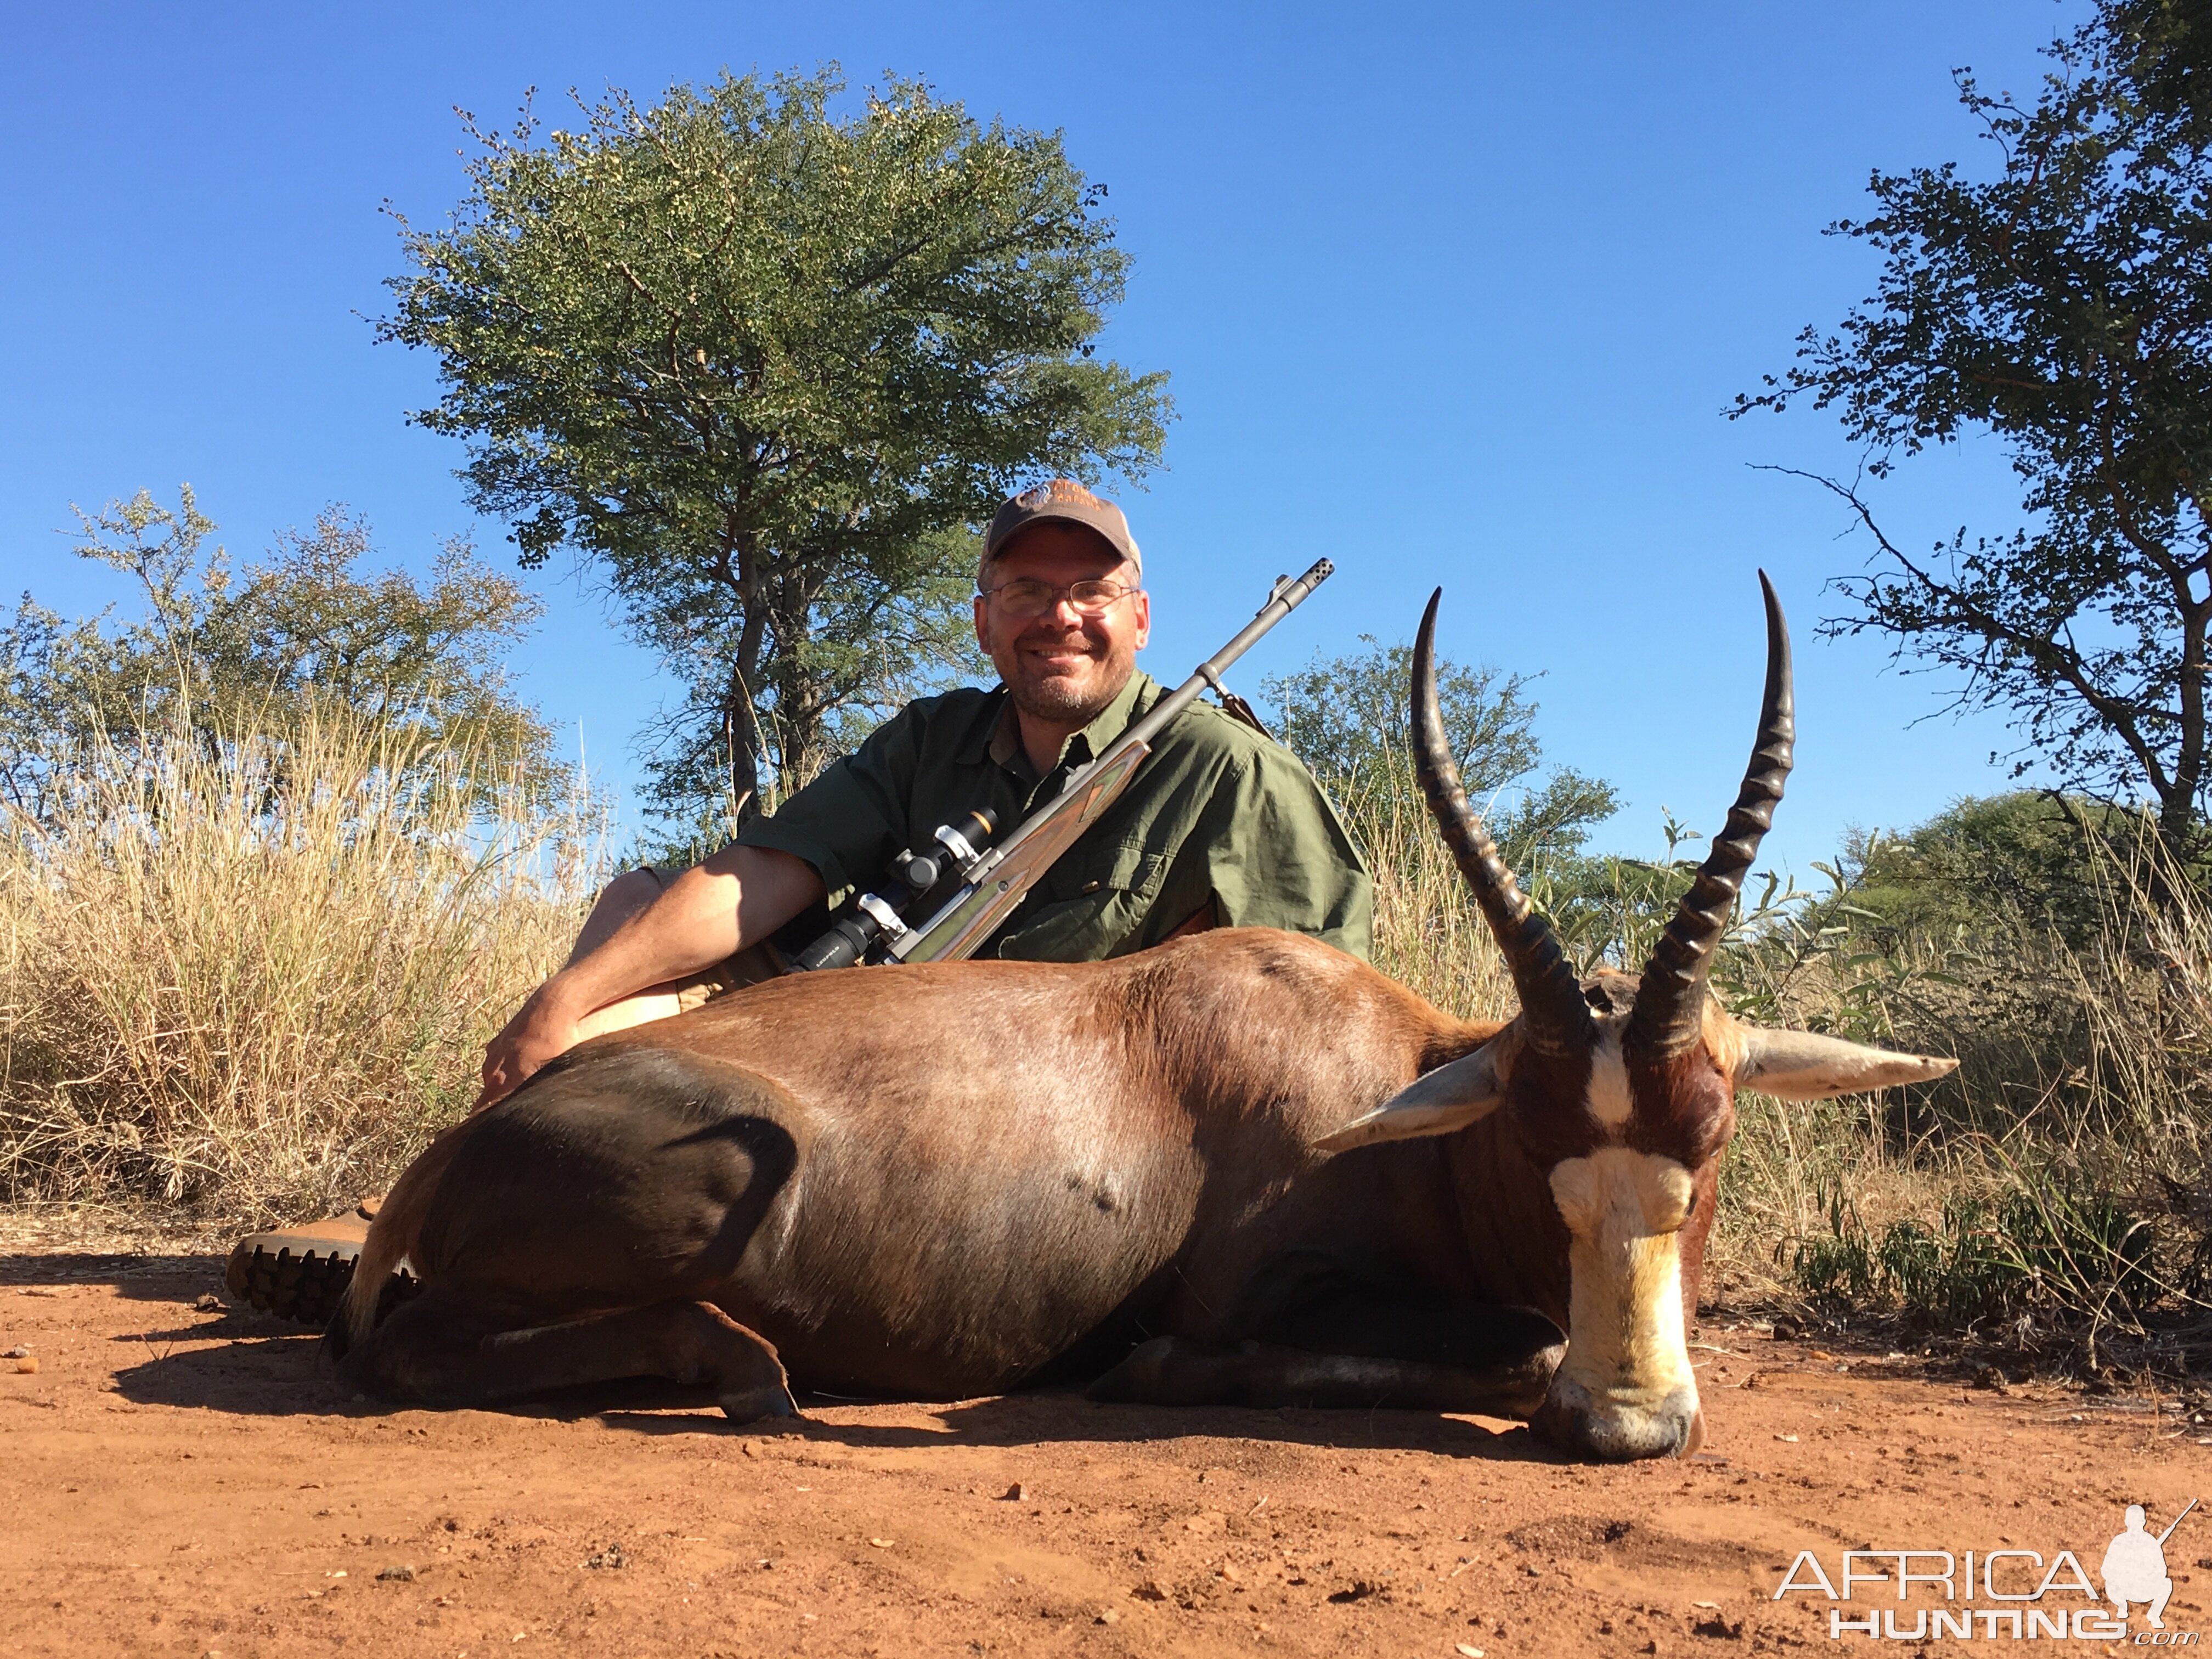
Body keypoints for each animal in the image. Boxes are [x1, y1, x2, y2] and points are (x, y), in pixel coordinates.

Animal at [327, 579, 1955, 1460]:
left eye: (1714, 1131)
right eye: (1533, 1126)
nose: (1620, 1425)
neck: (1394, 1083)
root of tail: (458, 1146)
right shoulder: (1257, 1294)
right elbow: (1486, 1346)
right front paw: (1145, 1371)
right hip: (719, 1170)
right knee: (409, 1352)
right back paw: (750, 1377)